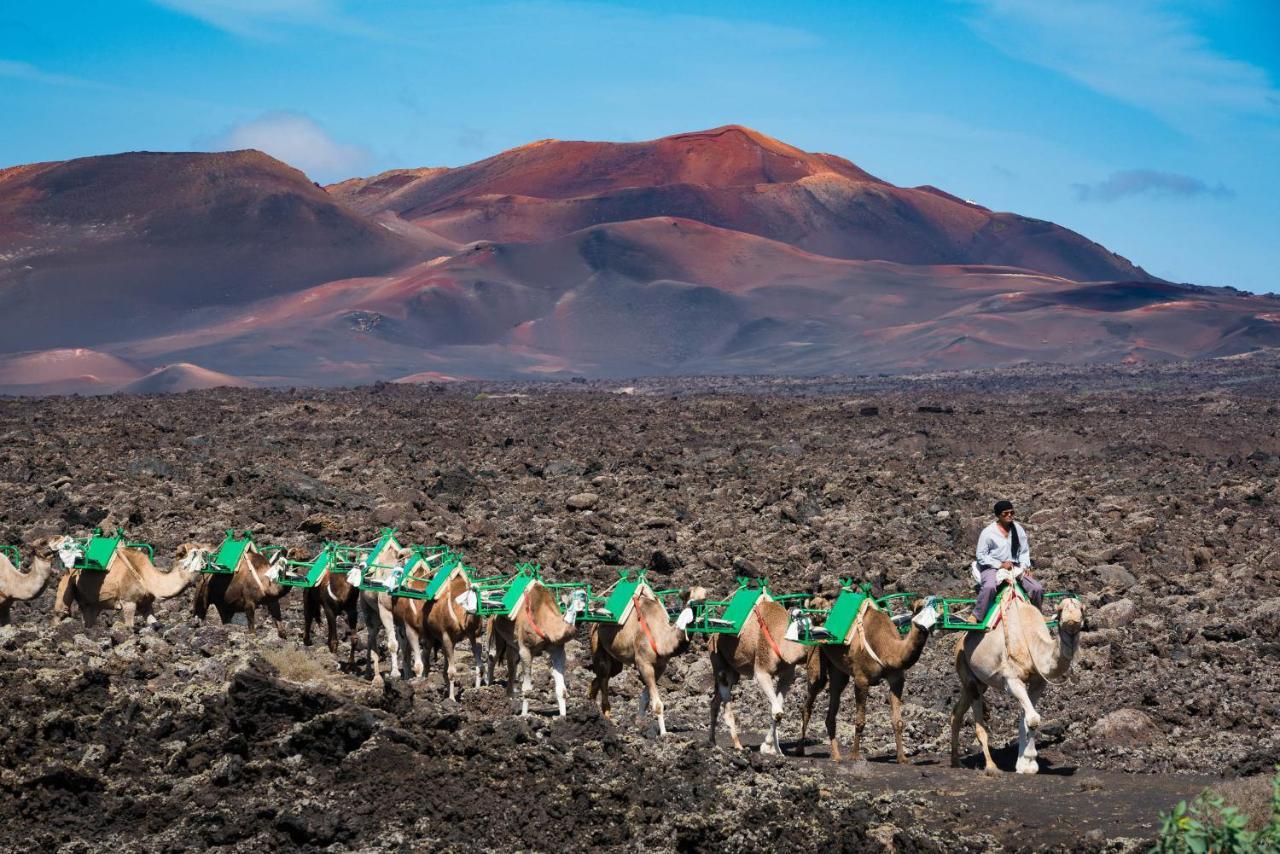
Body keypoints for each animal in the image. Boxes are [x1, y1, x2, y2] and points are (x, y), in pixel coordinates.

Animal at [49, 537, 197, 632]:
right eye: (193, 557)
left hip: (91, 602)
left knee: (89, 615)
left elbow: (154, 622)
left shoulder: (146, 604)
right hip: (67, 581)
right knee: (60, 611)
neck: (145, 575)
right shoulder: (128, 601)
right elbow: (129, 627)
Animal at [586, 588, 706, 737]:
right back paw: (608, 721)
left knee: (600, 678)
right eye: (691, 598)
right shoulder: (644, 663)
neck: (662, 640)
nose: (700, 612)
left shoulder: (660, 666)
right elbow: (658, 704)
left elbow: (646, 697)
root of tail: (596, 623)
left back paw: (592, 708)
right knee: (604, 677)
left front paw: (639, 724)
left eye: (705, 598)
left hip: (616, 661)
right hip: (597, 644)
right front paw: (664, 734)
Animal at [711, 594, 808, 752]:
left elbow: (778, 709)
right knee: (726, 705)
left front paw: (771, 748)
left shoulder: (787, 675)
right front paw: (770, 747)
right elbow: (777, 712)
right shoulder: (762, 671)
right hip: (718, 659)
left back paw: (712, 742)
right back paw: (738, 746)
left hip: (733, 671)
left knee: (715, 702)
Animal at [798, 599, 942, 763]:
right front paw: (854, 755)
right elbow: (860, 720)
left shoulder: (897, 679)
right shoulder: (861, 679)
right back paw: (800, 750)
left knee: (834, 698)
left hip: (838, 670)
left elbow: (898, 721)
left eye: (936, 610)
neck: (888, 649)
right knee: (809, 700)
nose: (928, 626)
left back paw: (836, 756)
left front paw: (902, 758)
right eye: (919, 610)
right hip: (816, 656)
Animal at [952, 588, 1080, 773]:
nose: (1073, 619)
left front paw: (1023, 765)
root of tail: (961, 639)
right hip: (967, 672)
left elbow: (1025, 720)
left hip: (977, 683)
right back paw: (991, 766)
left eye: (1083, 609)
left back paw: (956, 761)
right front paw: (1031, 761)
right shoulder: (1012, 680)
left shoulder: (1038, 683)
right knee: (978, 722)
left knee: (957, 711)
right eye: (1061, 609)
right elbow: (1033, 719)